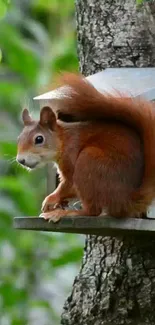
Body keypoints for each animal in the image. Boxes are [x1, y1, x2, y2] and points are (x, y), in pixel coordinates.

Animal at [16, 73, 155, 221]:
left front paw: (50, 199)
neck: (64, 139)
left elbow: (68, 185)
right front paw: (58, 203)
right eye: (18, 139)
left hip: (88, 161)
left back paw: (67, 213)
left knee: (92, 211)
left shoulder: (71, 155)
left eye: (39, 139)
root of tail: (126, 201)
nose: (20, 160)